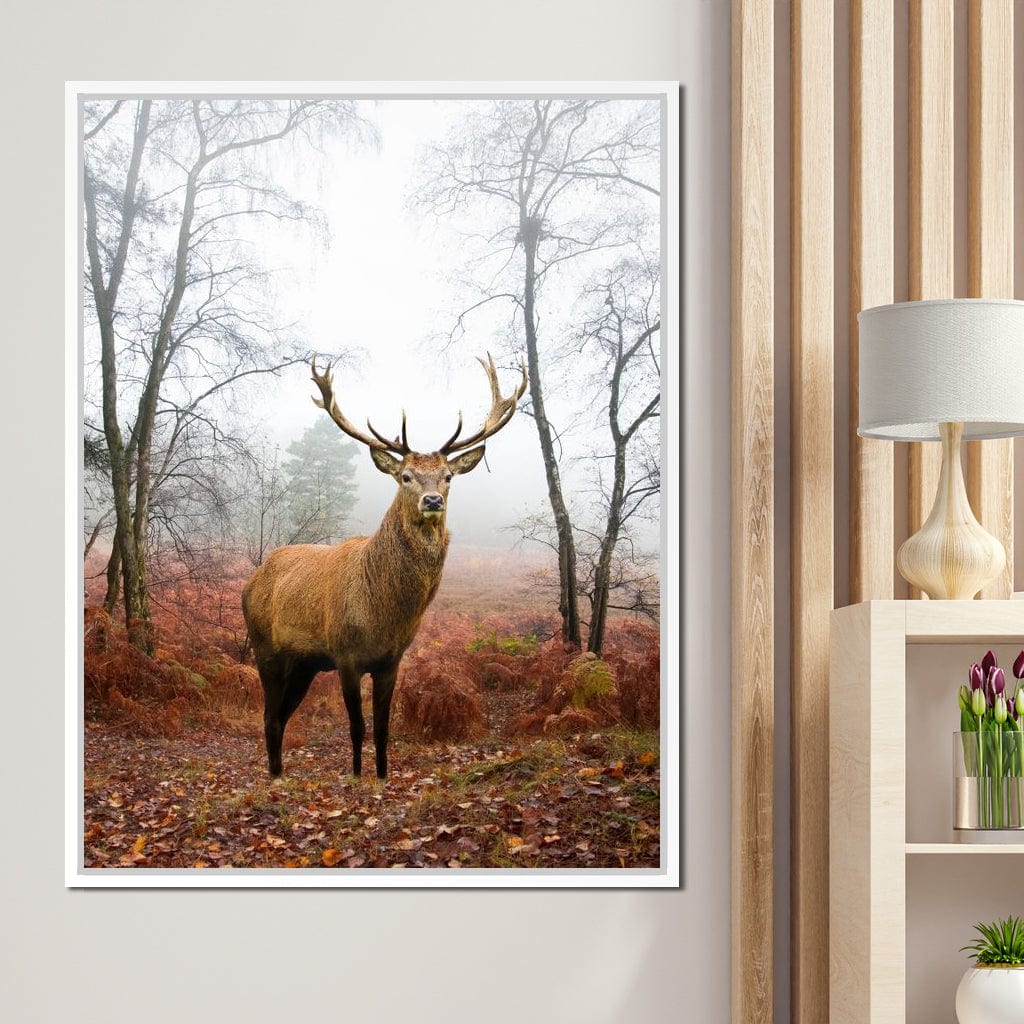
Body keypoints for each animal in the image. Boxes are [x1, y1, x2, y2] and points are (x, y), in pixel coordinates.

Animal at [241, 353, 527, 781]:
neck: (383, 612)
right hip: (265, 647)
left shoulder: (391, 660)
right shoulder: (345, 655)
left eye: (447, 477)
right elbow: (357, 727)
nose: (431, 501)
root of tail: (250, 581)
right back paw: (275, 777)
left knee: (281, 714)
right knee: (269, 715)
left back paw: (278, 772)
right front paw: (357, 776)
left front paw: (381, 775)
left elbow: (382, 728)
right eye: (405, 476)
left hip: (304, 663)